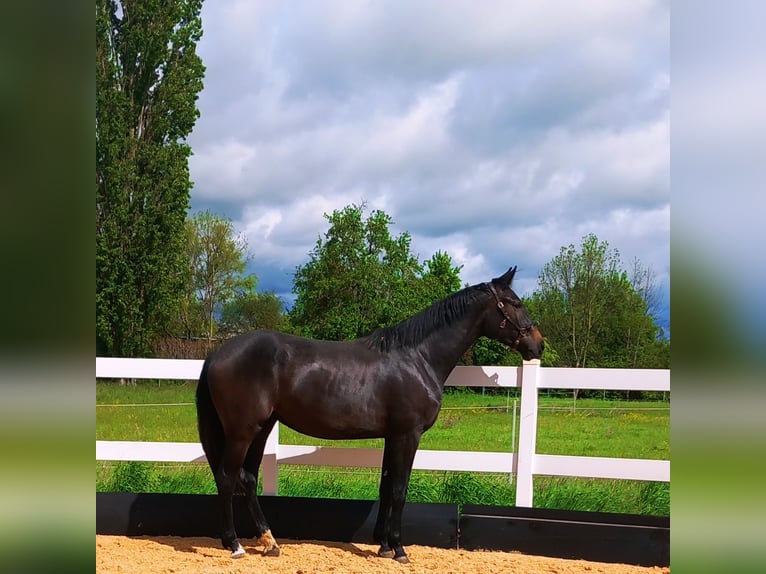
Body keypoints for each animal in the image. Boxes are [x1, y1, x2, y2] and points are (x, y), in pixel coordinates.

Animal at [198, 268, 544, 564]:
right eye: (516, 303)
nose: (538, 345)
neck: (417, 358)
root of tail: (216, 353)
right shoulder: (408, 434)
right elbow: (400, 490)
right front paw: (400, 549)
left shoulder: (393, 435)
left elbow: (386, 487)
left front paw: (384, 546)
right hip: (243, 431)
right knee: (227, 477)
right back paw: (235, 544)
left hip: (263, 427)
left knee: (247, 477)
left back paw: (269, 542)